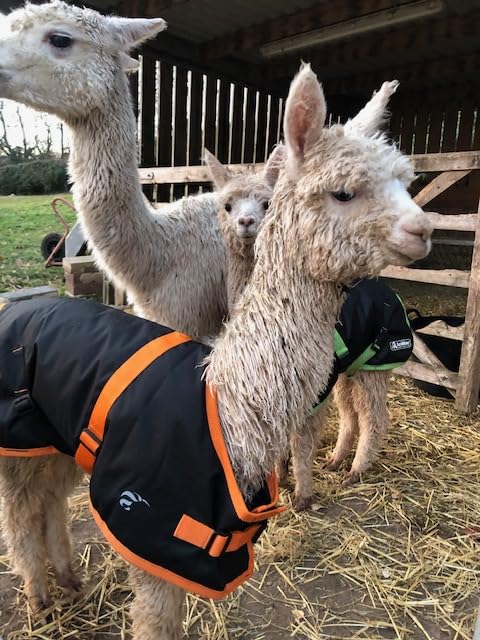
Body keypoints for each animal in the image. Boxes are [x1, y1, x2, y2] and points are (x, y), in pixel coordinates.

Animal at [0, 2, 432, 637]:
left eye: (406, 180)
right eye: (343, 192)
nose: (423, 229)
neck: (224, 408)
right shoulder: (150, 538)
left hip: (53, 440)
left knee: (47, 499)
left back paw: (69, 583)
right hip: (16, 440)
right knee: (20, 510)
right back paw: (40, 597)